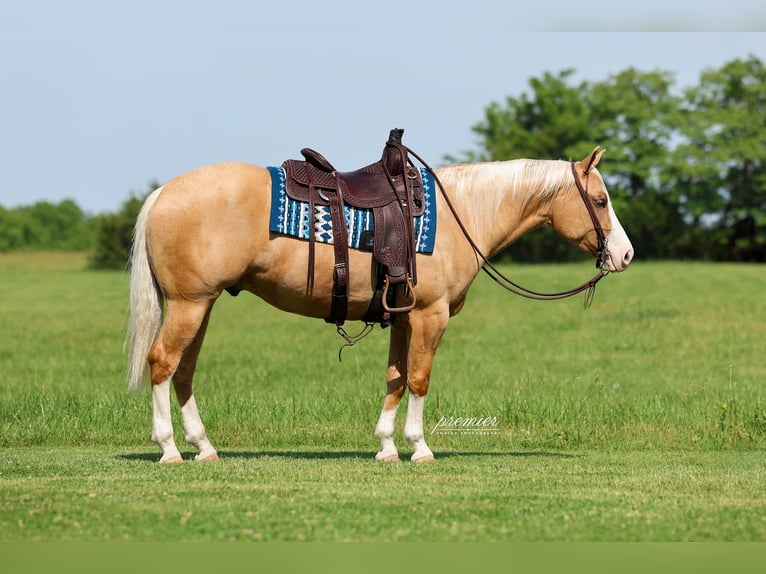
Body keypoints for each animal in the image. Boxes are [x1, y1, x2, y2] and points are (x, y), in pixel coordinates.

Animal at [126, 145, 634, 463]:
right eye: (600, 200)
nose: (625, 255)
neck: (462, 214)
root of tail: (164, 193)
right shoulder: (430, 315)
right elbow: (420, 379)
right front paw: (420, 447)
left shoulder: (404, 317)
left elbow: (395, 378)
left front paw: (387, 446)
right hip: (189, 304)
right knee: (162, 363)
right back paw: (169, 449)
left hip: (201, 305)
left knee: (183, 371)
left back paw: (204, 447)